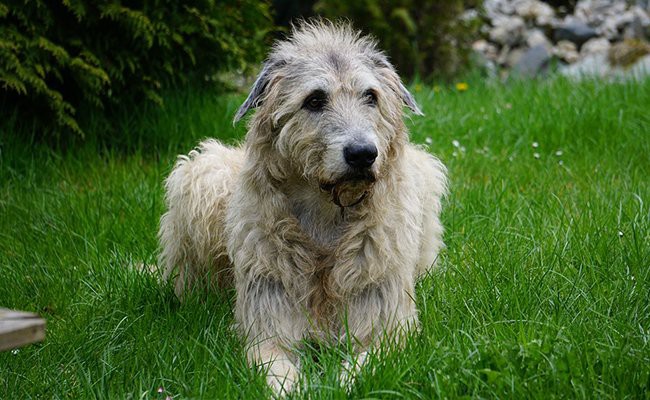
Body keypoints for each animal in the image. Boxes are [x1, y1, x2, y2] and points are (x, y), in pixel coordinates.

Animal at [159, 20, 448, 392]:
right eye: (314, 100)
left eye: (371, 96)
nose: (362, 154)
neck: (327, 214)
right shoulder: (267, 326)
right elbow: (274, 367)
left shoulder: (388, 329)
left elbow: (363, 367)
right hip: (201, 176)